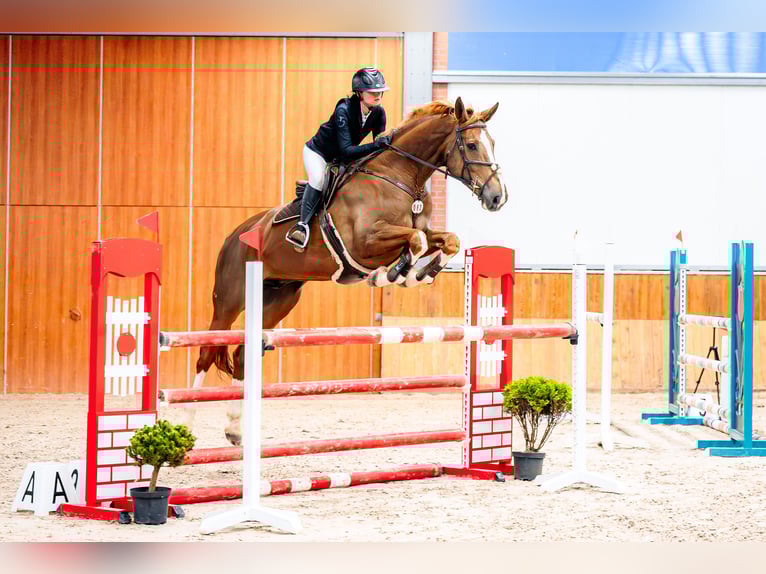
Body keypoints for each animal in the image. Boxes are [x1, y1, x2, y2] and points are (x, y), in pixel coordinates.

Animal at [192, 97, 508, 445]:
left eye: (493, 143)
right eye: (472, 144)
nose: (497, 197)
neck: (400, 177)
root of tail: (236, 234)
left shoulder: (418, 232)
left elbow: (444, 240)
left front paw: (416, 273)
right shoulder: (364, 243)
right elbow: (416, 239)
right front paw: (393, 273)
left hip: (278, 299)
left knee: (242, 355)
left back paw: (235, 429)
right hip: (229, 300)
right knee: (205, 354)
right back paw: (188, 428)